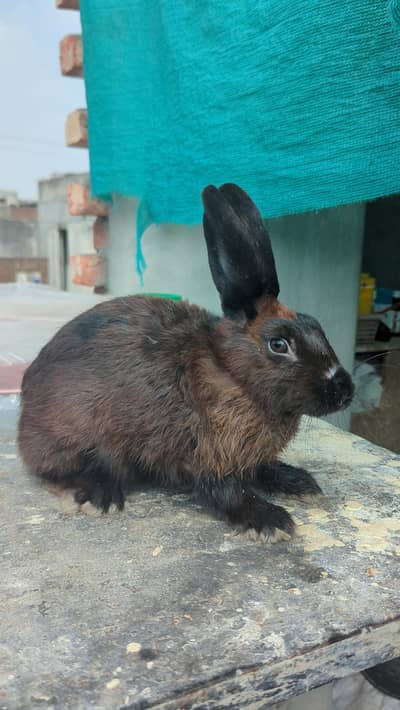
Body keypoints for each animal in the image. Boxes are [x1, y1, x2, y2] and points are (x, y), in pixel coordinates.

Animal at [18, 183, 354, 542]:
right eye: (279, 344)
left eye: (316, 324)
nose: (345, 390)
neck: (230, 372)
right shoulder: (210, 455)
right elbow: (228, 492)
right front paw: (271, 521)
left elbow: (262, 471)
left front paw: (300, 483)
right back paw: (99, 498)